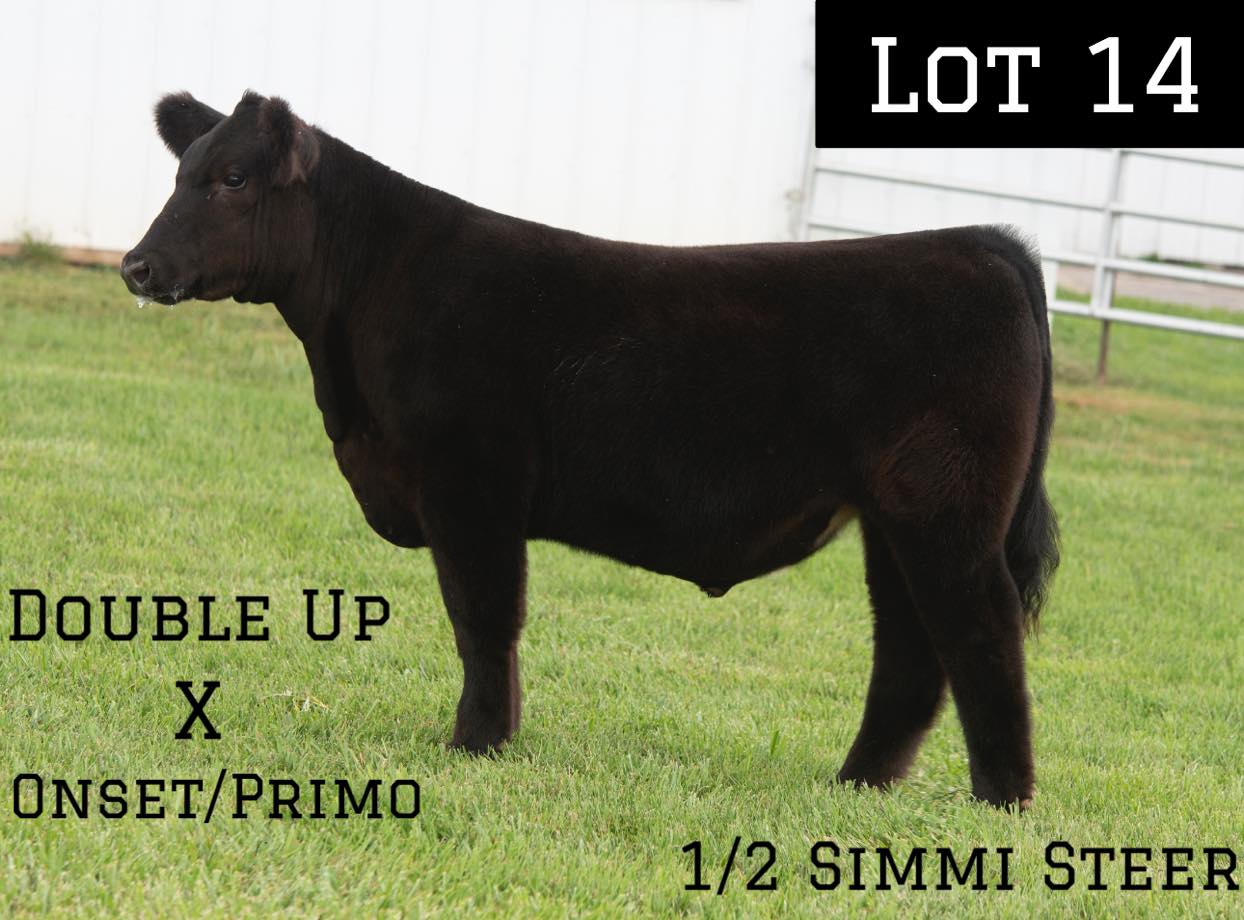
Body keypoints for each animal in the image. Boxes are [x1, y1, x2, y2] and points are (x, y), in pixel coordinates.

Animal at [122, 91, 1059, 809]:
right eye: (179, 172)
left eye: (232, 179)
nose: (136, 265)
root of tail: (977, 242)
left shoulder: (472, 483)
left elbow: (482, 617)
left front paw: (477, 744)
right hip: (894, 518)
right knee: (910, 648)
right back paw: (860, 784)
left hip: (944, 509)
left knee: (980, 632)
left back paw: (1001, 800)